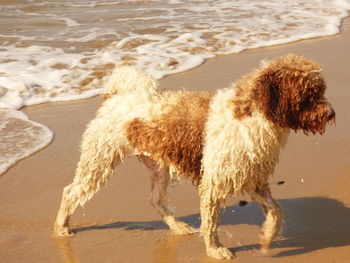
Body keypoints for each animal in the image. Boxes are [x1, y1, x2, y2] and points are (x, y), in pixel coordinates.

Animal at [53, 53, 334, 260]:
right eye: (308, 94)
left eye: (320, 90)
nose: (331, 113)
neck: (254, 115)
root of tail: (118, 97)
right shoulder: (215, 183)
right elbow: (211, 224)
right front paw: (215, 250)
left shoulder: (250, 177)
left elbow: (276, 210)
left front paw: (267, 238)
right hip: (99, 160)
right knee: (69, 192)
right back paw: (61, 228)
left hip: (158, 168)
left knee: (156, 200)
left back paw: (178, 227)